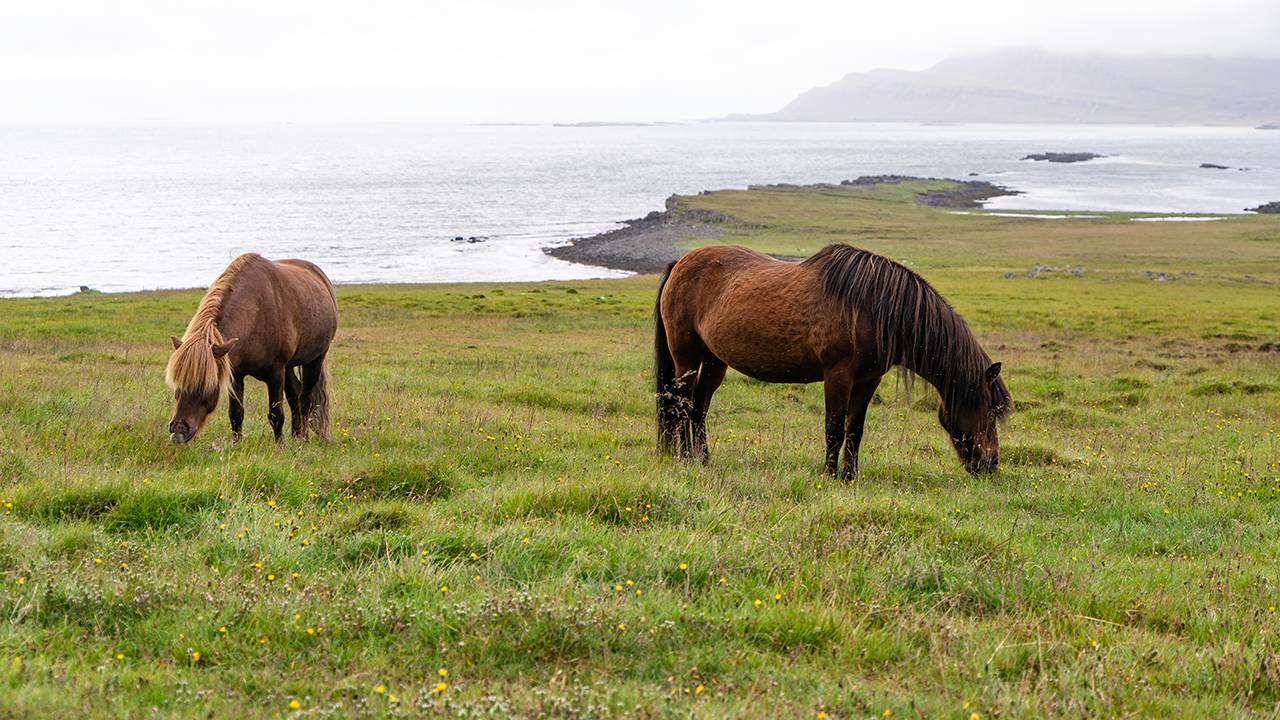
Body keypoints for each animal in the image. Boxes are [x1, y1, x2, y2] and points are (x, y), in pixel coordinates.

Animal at [165, 253, 338, 444]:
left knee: (305, 399)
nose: (178, 431)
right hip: (289, 366)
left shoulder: (276, 373)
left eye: (205, 386)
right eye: (177, 386)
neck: (255, 314)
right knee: (295, 396)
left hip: (315, 360)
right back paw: (296, 435)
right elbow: (235, 413)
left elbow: (276, 415)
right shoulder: (235, 373)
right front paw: (237, 444)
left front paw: (280, 445)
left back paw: (303, 440)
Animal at [654, 244, 1011, 477]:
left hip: (715, 360)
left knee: (699, 408)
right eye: (991, 411)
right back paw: (685, 458)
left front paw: (849, 476)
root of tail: (680, 262)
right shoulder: (837, 375)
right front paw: (829, 475)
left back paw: (703, 460)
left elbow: (855, 430)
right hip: (686, 355)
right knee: (682, 404)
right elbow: (835, 428)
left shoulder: (869, 379)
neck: (874, 307)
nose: (992, 464)